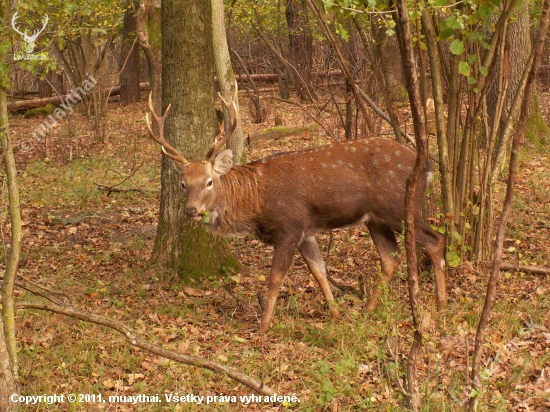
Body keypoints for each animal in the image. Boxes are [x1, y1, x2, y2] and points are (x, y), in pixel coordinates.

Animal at [147, 91, 448, 334]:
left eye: (209, 182)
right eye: (184, 184)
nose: (191, 210)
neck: (255, 201)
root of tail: (428, 166)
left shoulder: (289, 227)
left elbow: (275, 279)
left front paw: (262, 329)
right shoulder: (306, 231)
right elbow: (319, 271)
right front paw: (336, 315)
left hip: (399, 207)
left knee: (435, 240)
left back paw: (441, 303)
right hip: (375, 218)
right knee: (390, 257)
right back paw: (369, 310)